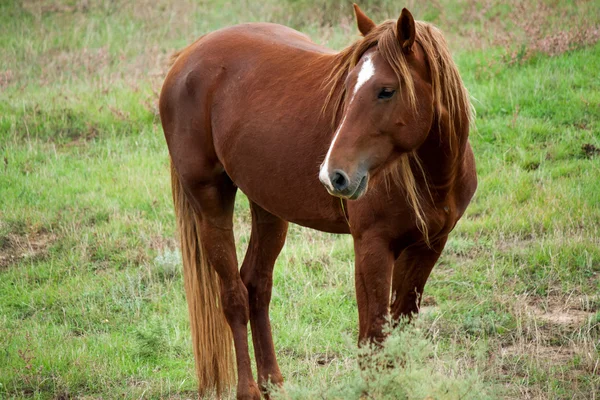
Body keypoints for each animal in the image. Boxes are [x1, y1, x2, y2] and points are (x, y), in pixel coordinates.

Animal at [161, 3, 478, 400]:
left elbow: (400, 327)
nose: (334, 175)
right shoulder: (372, 246)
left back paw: (273, 383)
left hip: (269, 208)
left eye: (386, 91)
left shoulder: (429, 246)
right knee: (233, 295)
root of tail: (187, 56)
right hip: (210, 203)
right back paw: (248, 389)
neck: (432, 178)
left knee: (256, 286)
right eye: (347, 87)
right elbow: (374, 334)